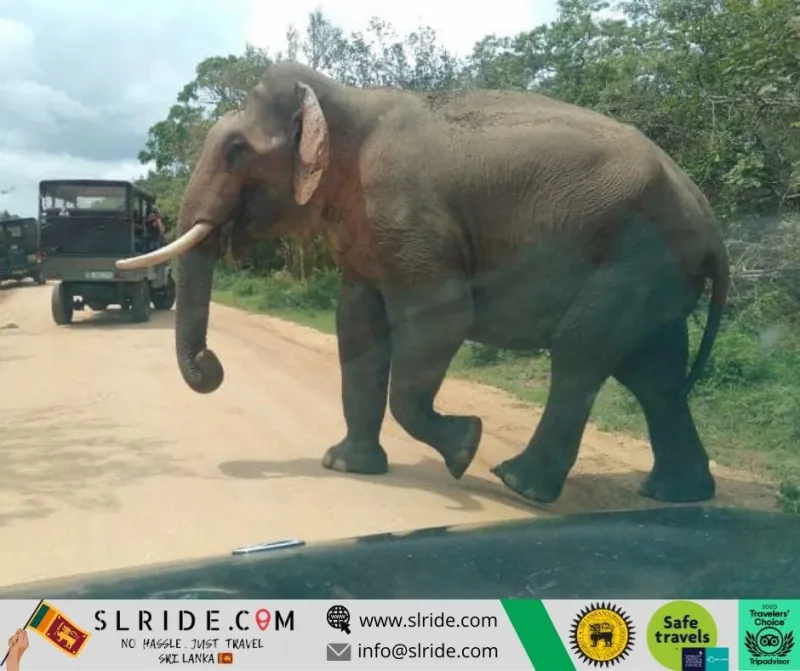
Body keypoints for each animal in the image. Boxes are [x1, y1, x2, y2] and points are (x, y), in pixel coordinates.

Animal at [116, 61, 729, 506]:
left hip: (634, 254)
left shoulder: (411, 218)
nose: (212, 365)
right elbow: (356, 323)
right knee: (653, 372)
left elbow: (443, 313)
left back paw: (518, 484)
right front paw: (346, 466)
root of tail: (706, 215)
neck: (343, 101)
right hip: (656, 270)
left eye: (237, 150)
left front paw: (464, 449)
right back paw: (674, 494)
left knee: (582, 351)